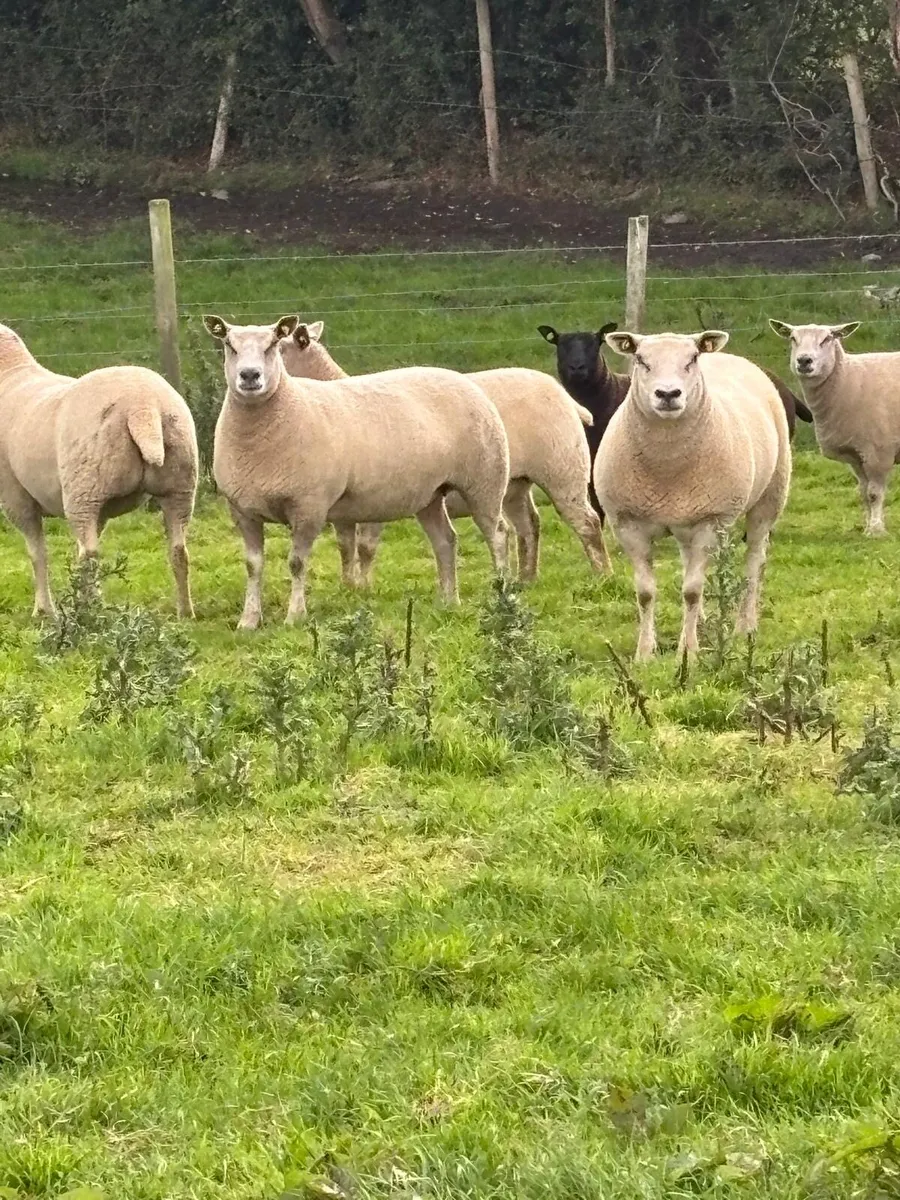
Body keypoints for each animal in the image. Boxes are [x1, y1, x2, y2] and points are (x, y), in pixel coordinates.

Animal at [0, 323, 197, 618]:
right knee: (178, 549)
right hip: (179, 484)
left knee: (90, 555)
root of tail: (143, 405)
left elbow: (38, 554)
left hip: (84, 489)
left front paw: (44, 610)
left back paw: (90, 612)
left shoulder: (15, 497)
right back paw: (184, 612)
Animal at [205, 314, 510, 627]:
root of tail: (463, 379)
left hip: (485, 480)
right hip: (431, 495)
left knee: (498, 533)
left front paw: (295, 616)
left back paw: (500, 591)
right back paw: (448, 602)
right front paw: (249, 620)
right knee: (446, 541)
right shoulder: (243, 510)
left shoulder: (309, 507)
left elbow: (298, 563)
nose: (249, 376)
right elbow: (253, 566)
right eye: (229, 345)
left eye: (274, 345)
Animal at [279, 319, 610, 584]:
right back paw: (526, 579)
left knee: (587, 522)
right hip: (515, 483)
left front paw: (363, 587)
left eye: (278, 349)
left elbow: (365, 547)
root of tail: (565, 397)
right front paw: (349, 587)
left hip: (562, 468)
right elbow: (345, 548)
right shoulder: (341, 508)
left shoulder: (376, 498)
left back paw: (602, 575)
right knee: (529, 525)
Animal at [595, 330, 791, 661]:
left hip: (770, 496)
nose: (668, 394)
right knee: (690, 562)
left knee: (754, 563)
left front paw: (688, 652)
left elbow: (691, 591)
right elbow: (645, 593)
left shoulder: (709, 522)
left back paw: (745, 626)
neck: (666, 465)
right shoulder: (628, 524)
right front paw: (645, 653)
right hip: (688, 516)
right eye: (640, 359)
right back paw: (703, 622)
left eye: (692, 358)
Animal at [770, 319, 900, 536]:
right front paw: (867, 528)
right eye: (793, 338)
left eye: (827, 339)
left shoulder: (878, 452)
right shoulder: (856, 455)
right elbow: (863, 493)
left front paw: (876, 530)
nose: (804, 361)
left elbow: (874, 493)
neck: (847, 378)